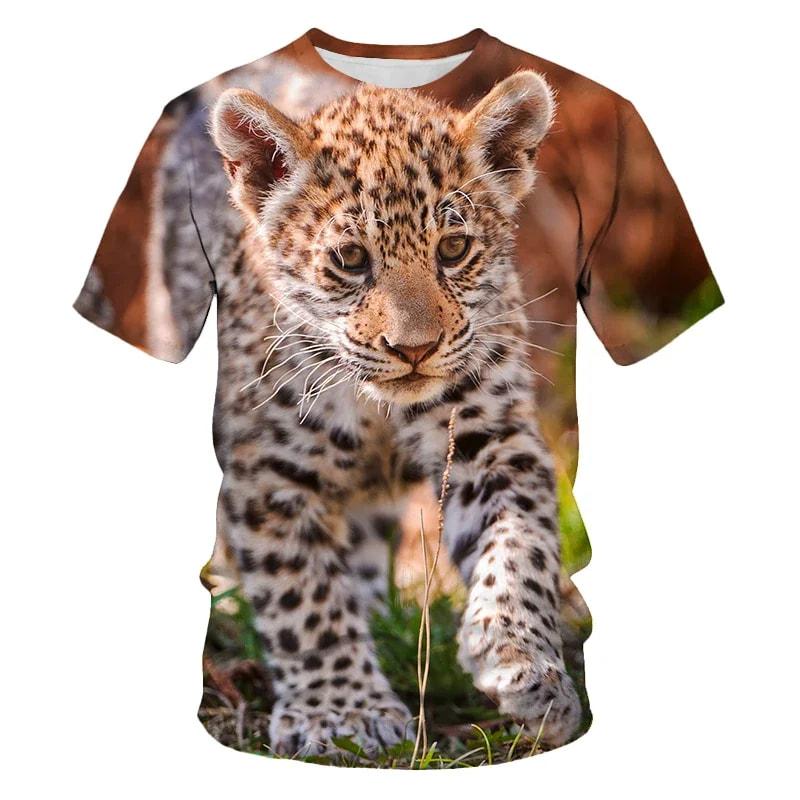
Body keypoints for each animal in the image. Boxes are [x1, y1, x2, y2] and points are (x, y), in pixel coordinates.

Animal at [208, 70, 582, 757]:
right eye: (352, 260)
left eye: (454, 248)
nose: (414, 350)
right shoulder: (269, 472)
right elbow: (303, 593)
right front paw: (343, 712)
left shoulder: (490, 438)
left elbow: (522, 545)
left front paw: (522, 662)